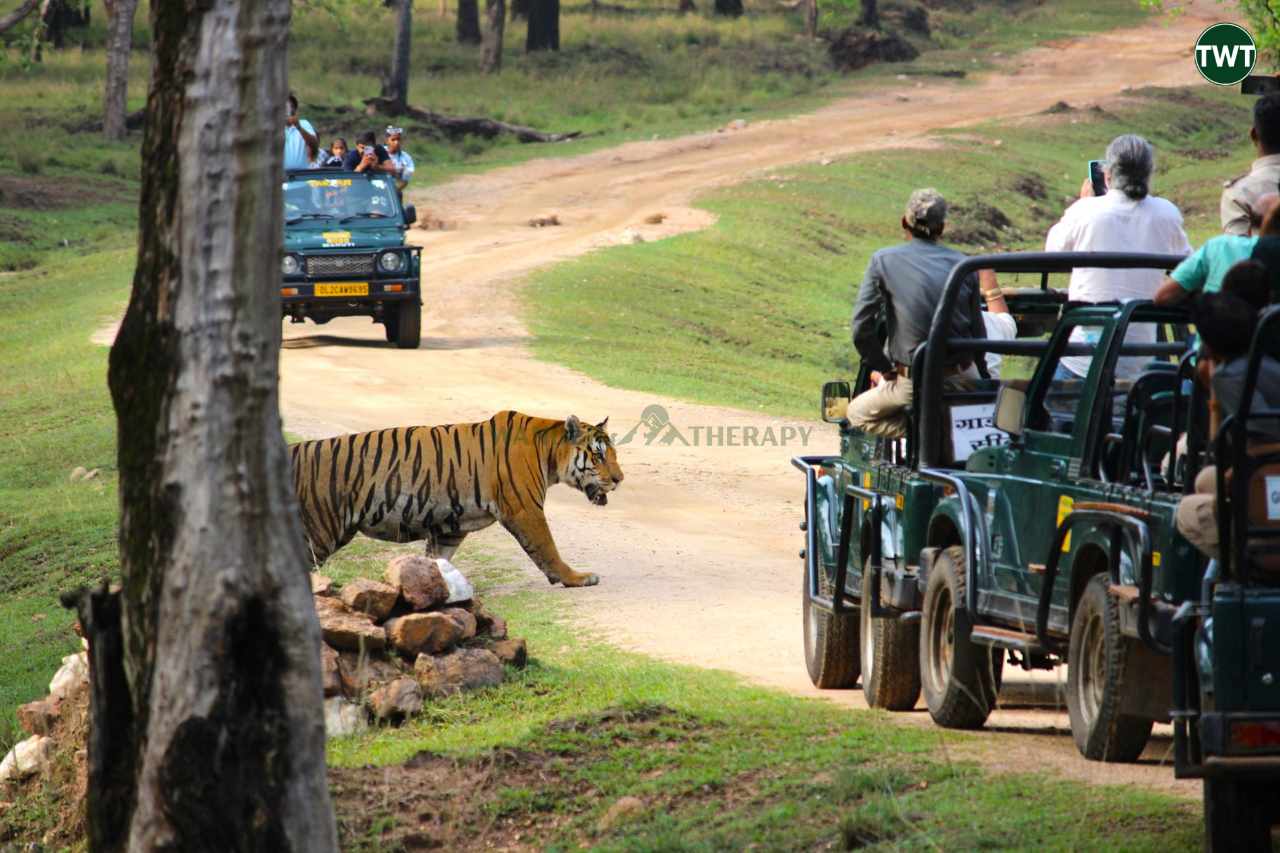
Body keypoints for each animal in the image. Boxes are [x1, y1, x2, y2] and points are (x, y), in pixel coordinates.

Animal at [291, 407, 629, 584]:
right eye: (598, 456)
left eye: (613, 454)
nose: (619, 479)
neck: (548, 452)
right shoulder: (525, 510)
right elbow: (548, 548)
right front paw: (576, 578)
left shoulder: (450, 527)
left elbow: (437, 560)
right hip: (317, 533)